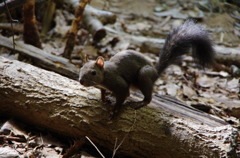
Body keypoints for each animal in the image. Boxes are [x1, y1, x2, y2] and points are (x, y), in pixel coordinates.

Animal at [79, 19, 214, 117]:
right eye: (80, 69)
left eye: (93, 72)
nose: (81, 81)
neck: (105, 74)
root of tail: (156, 74)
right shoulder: (103, 86)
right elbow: (102, 92)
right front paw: (103, 98)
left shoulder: (119, 84)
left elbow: (123, 95)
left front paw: (115, 111)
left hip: (144, 75)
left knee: (148, 98)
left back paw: (141, 102)